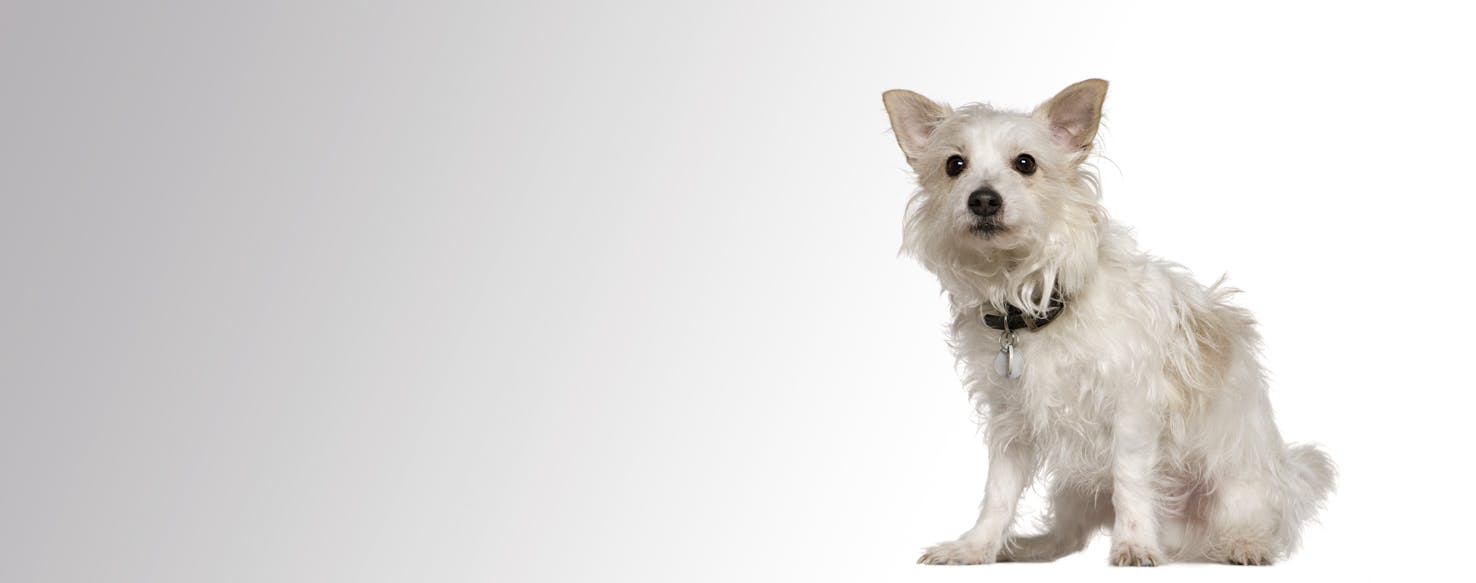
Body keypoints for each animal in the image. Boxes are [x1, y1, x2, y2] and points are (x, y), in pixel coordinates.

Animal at [885, 78, 1340, 566]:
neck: (1033, 300)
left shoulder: (1132, 412)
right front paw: (976, 547)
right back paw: (1031, 546)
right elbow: (998, 494)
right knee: (1069, 535)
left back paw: (1244, 544)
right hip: (1074, 490)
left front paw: (1135, 545)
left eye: (1025, 163)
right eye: (954, 165)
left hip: (1234, 481)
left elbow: (1131, 485)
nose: (983, 198)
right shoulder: (1011, 424)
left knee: (1249, 519)